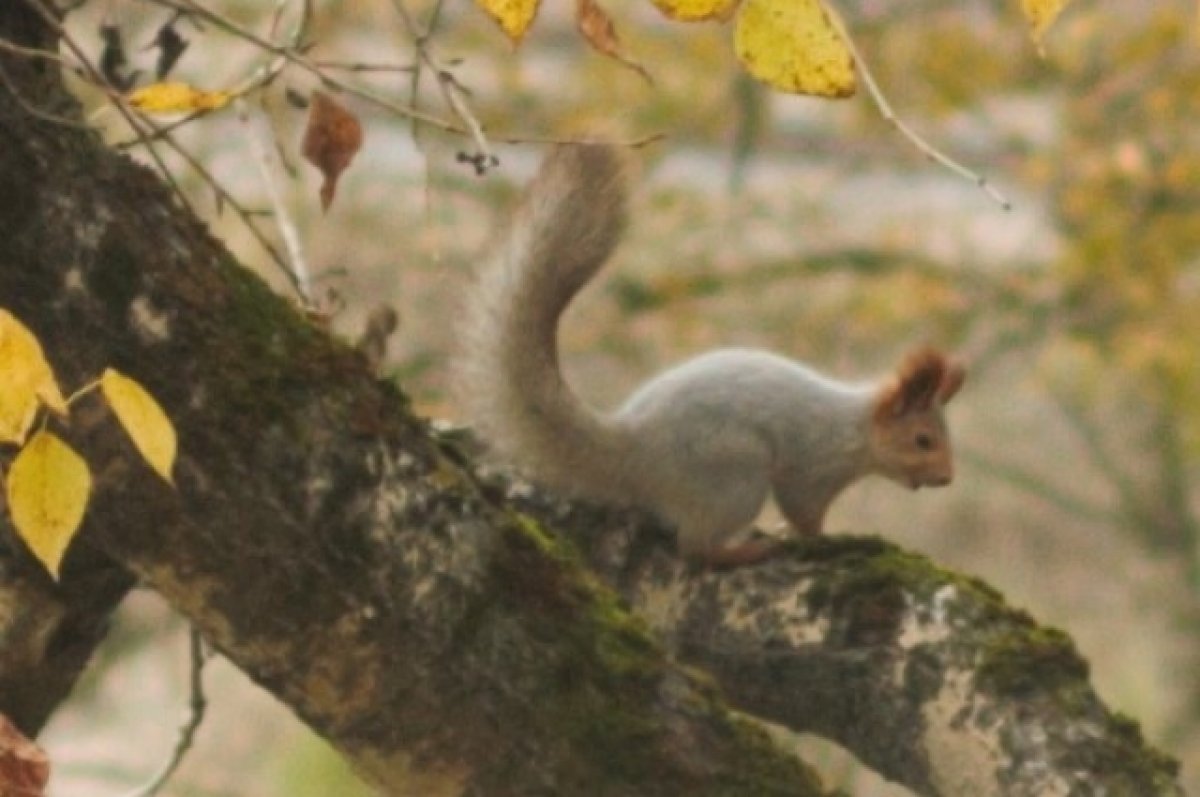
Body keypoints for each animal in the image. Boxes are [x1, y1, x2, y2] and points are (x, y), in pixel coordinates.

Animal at [458, 143, 964, 566]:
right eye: (922, 440)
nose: (946, 479)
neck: (855, 428)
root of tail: (634, 449)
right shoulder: (812, 466)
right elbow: (803, 511)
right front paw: (823, 539)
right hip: (735, 475)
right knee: (695, 549)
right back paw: (744, 551)